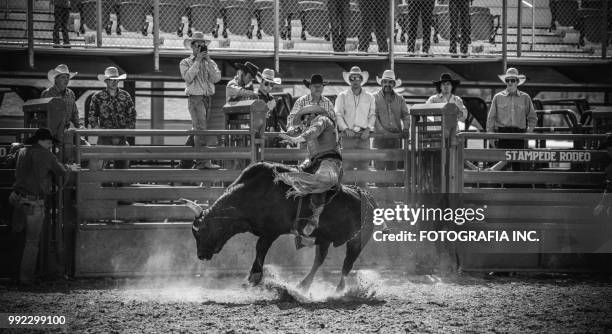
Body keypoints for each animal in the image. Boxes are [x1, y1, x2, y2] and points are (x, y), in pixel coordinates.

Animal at [185, 162, 378, 292]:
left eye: (202, 231)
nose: (200, 255)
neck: (253, 193)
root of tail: (368, 198)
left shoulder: (272, 232)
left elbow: (260, 247)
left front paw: (254, 277)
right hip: (324, 239)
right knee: (319, 260)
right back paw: (303, 285)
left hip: (357, 242)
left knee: (347, 265)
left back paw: (339, 290)